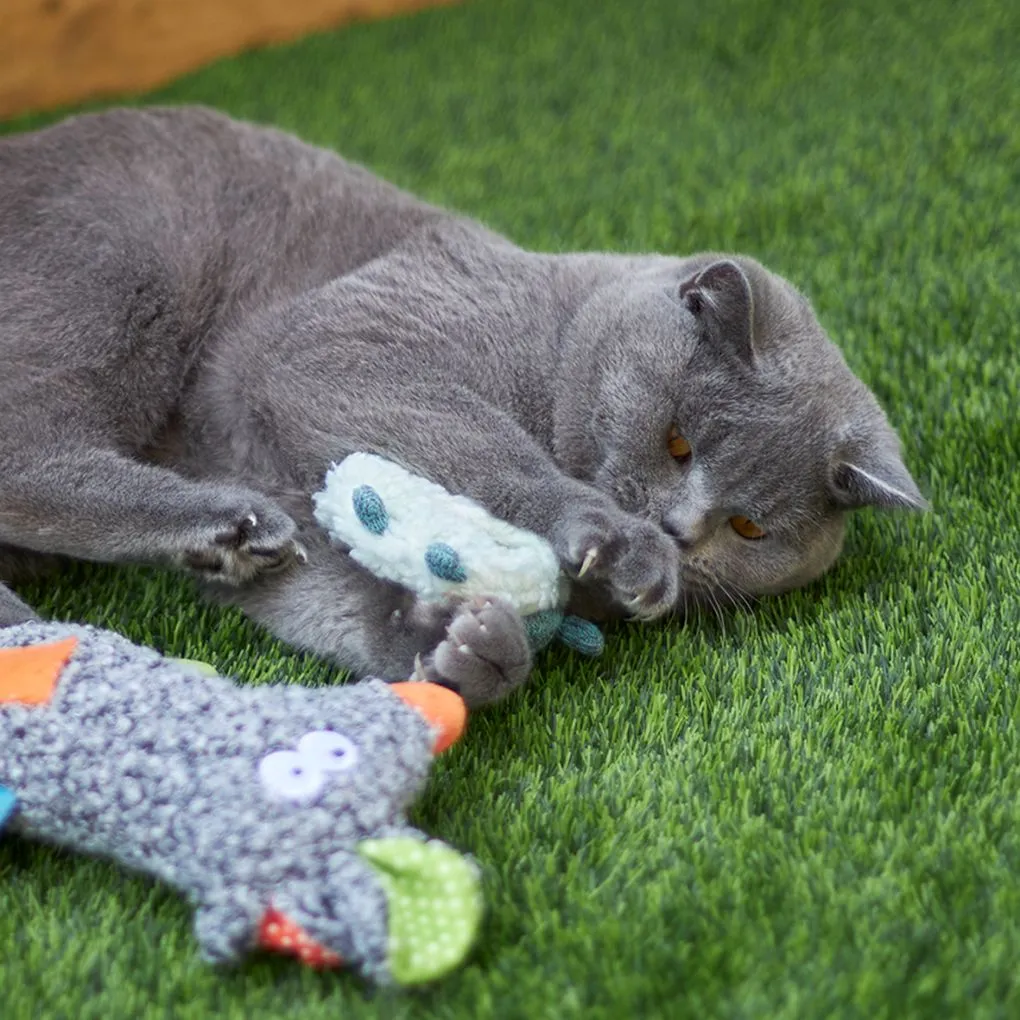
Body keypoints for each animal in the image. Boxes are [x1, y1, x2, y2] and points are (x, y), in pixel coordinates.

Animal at [0, 107, 926, 705]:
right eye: (676, 443)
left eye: (748, 530)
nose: (676, 531)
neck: (555, 337)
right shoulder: (344, 346)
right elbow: (492, 451)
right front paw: (615, 545)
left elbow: (325, 593)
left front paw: (465, 651)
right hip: (122, 267)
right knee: (24, 455)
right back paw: (219, 524)